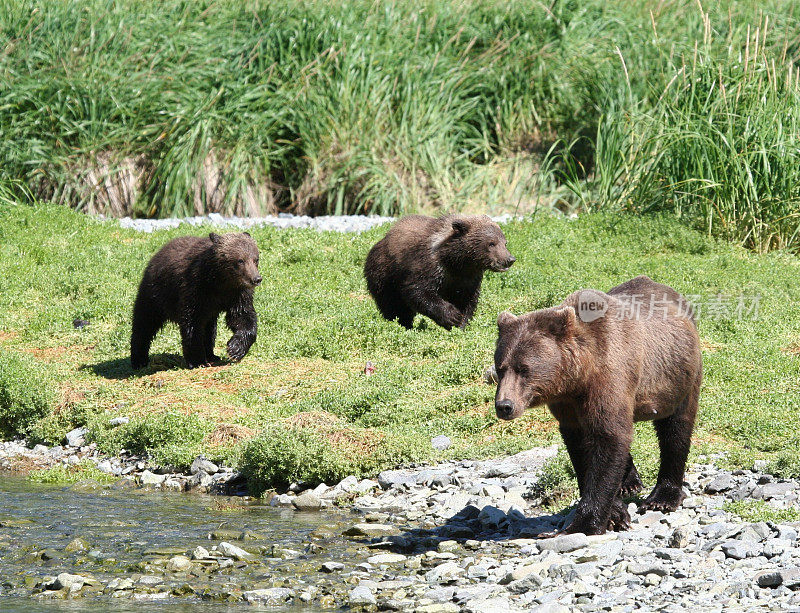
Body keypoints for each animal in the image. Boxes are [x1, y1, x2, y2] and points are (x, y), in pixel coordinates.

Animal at [131, 232, 260, 368]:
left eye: (256, 259)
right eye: (240, 260)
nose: (256, 279)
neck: (220, 281)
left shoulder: (237, 295)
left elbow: (242, 317)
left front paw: (235, 348)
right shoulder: (196, 288)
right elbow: (192, 323)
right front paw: (197, 359)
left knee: (209, 329)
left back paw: (212, 355)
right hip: (155, 294)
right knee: (144, 324)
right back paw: (139, 360)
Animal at [366, 215, 516, 330]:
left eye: (505, 242)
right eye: (491, 243)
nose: (509, 259)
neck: (455, 262)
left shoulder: (468, 279)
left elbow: (467, 300)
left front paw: (461, 324)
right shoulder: (428, 265)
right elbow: (418, 291)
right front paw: (452, 316)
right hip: (384, 275)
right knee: (393, 305)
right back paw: (402, 324)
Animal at [494, 274, 700, 532]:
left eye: (524, 369)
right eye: (500, 368)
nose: (504, 406)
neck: (579, 375)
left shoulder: (609, 377)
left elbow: (608, 438)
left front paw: (586, 523)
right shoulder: (568, 404)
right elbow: (582, 446)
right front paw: (615, 512)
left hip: (678, 379)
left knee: (675, 429)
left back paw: (663, 497)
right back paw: (629, 482)